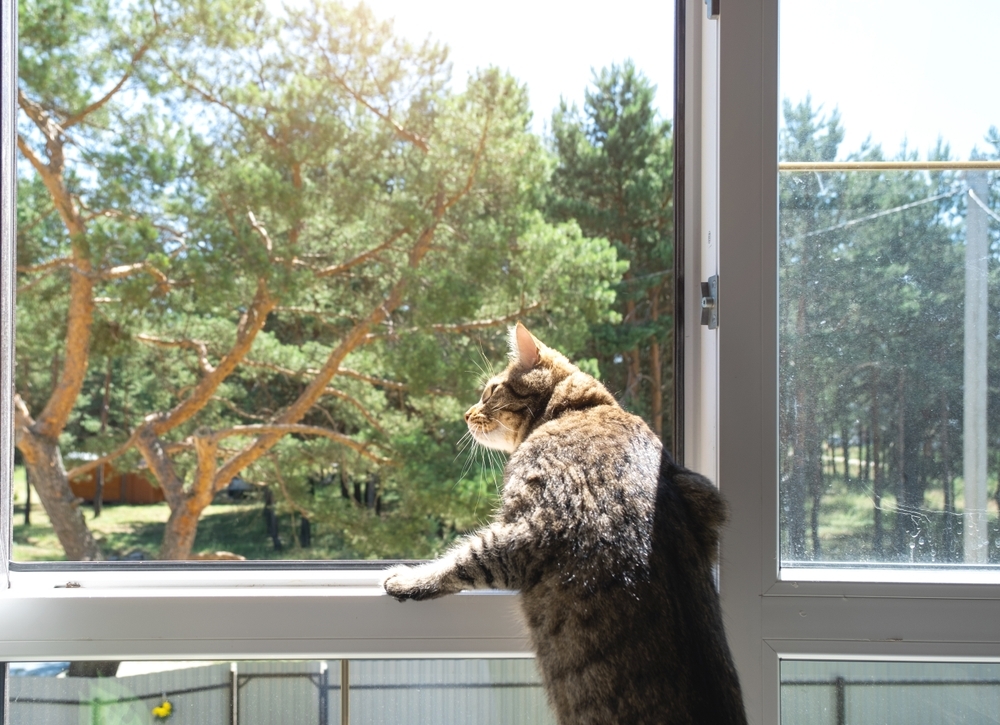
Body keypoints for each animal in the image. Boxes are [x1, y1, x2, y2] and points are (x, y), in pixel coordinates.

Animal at [386, 324, 748, 724]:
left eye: (490, 391)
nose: (466, 414)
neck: (581, 410)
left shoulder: (530, 527)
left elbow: (466, 558)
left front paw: (409, 579)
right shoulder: (708, 500)